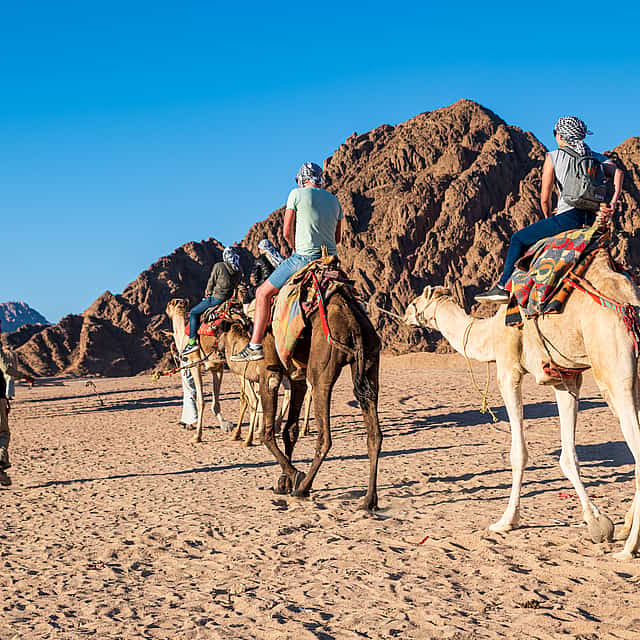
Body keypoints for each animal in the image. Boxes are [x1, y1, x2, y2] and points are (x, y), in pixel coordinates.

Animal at [165, 299, 233, 442]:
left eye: (169, 304)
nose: (166, 309)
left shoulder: (194, 364)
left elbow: (201, 400)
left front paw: (197, 436)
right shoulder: (217, 367)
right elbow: (215, 402)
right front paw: (225, 425)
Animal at [257, 289, 383, 510]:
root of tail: (353, 324)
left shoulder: (269, 373)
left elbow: (266, 433)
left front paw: (294, 476)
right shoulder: (296, 377)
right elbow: (290, 430)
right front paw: (283, 482)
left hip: (321, 371)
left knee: (325, 437)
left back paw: (303, 488)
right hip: (369, 363)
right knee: (374, 435)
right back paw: (369, 500)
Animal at [403, 251, 640, 560]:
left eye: (416, 300)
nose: (405, 314)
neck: (490, 331)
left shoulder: (508, 368)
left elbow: (518, 453)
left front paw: (506, 521)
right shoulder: (565, 378)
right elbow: (568, 457)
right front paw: (598, 522)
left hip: (614, 371)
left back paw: (628, 549)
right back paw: (626, 530)